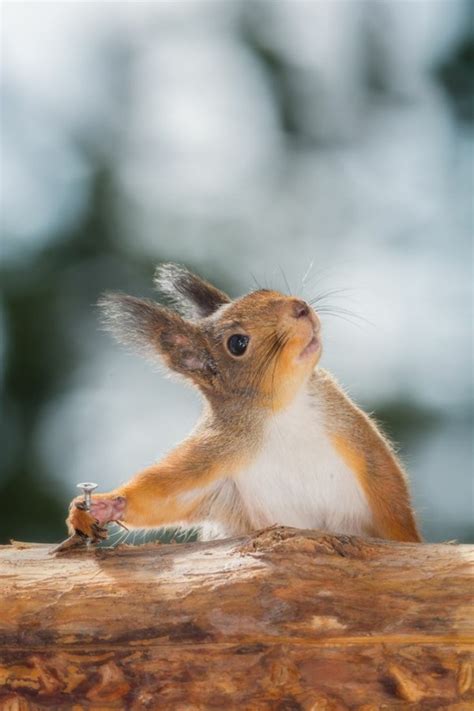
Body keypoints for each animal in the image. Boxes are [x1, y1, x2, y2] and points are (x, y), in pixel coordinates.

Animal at [66, 264, 422, 548]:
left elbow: (390, 490)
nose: (300, 308)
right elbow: (163, 493)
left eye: (263, 291)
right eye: (237, 343)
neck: (283, 411)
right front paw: (103, 505)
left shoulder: (350, 428)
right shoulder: (216, 450)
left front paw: (411, 542)